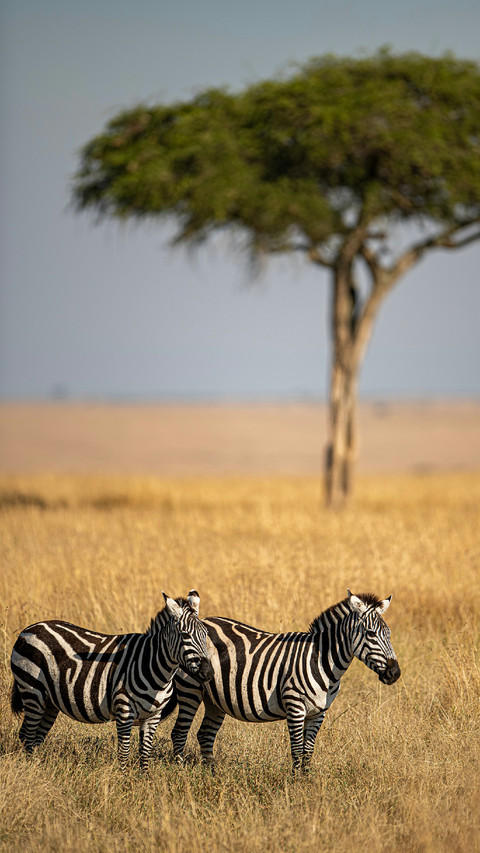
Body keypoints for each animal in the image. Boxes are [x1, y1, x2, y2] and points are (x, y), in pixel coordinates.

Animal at [10, 590, 213, 771]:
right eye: (185, 635)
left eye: (206, 634)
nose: (208, 672)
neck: (155, 667)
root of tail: (29, 629)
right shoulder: (124, 710)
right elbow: (124, 752)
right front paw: (123, 780)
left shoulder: (153, 716)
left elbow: (145, 752)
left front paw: (144, 780)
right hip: (32, 691)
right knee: (28, 735)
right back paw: (32, 770)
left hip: (50, 701)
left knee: (34, 737)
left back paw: (38, 766)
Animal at [170, 590, 401, 773]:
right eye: (370, 633)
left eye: (389, 634)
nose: (395, 673)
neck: (322, 661)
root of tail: (203, 621)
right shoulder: (295, 706)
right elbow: (297, 750)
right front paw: (295, 785)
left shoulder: (318, 712)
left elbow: (308, 751)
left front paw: (307, 784)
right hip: (190, 690)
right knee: (179, 733)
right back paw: (180, 774)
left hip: (215, 699)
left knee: (205, 735)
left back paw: (212, 776)